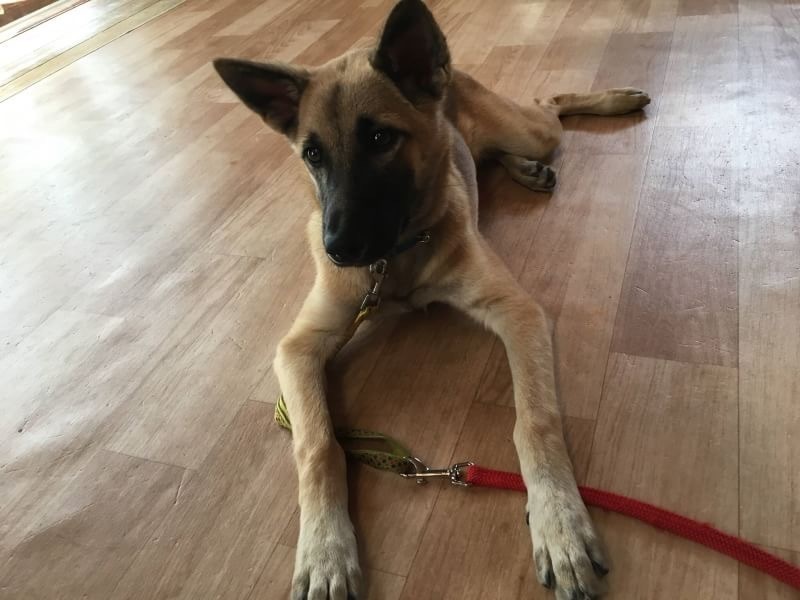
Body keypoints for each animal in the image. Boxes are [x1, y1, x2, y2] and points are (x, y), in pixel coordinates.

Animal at [214, 1, 649, 598]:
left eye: (380, 139)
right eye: (312, 154)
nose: (336, 248)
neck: (393, 262)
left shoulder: (517, 312)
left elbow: (534, 422)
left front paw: (559, 522)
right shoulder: (299, 347)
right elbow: (318, 446)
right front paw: (325, 550)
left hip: (532, 129)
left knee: (549, 104)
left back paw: (610, 102)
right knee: (494, 149)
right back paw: (525, 169)